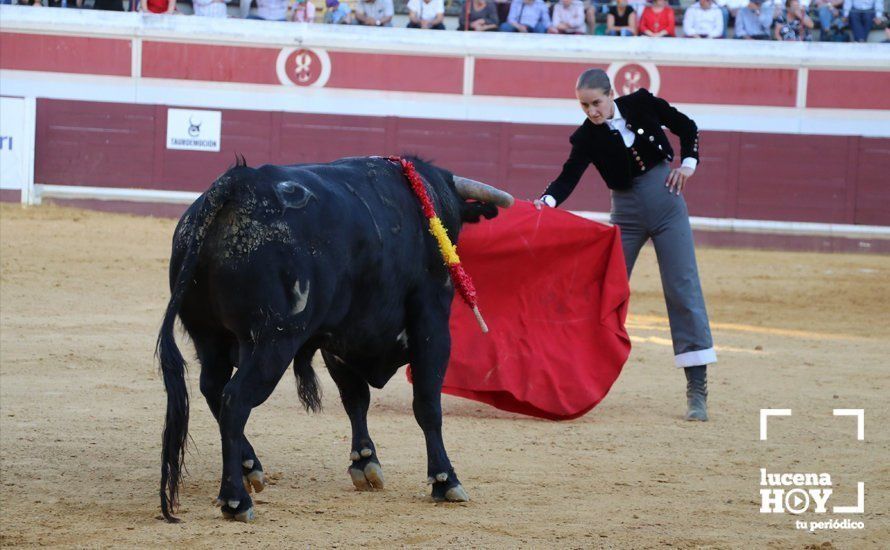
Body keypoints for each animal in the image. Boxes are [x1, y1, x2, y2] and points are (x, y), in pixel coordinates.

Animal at [156, 155, 510, 520]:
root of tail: (237, 185)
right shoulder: (433, 326)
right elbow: (427, 404)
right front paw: (445, 479)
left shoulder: (340, 341)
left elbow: (355, 399)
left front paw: (366, 463)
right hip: (272, 341)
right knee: (235, 400)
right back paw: (236, 499)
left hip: (208, 337)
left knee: (213, 389)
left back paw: (250, 467)